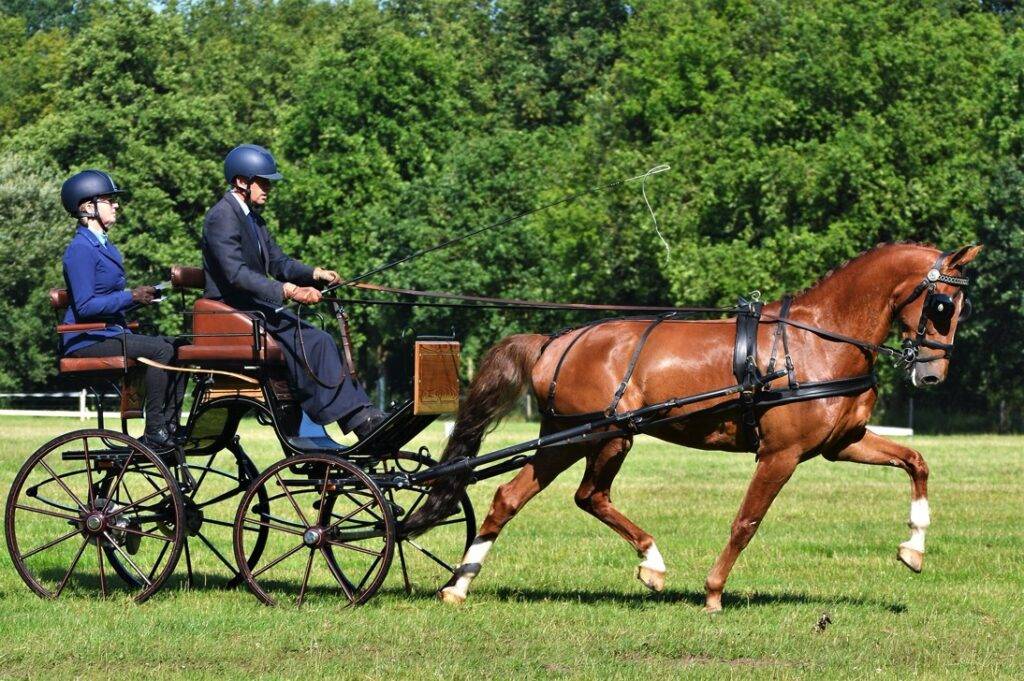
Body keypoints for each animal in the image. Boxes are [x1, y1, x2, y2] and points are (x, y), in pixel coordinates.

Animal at [408, 242, 980, 612]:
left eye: (960, 306)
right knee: (580, 496)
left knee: (522, 497)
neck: (816, 341)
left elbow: (916, 462)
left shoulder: (842, 444)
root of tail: (556, 340)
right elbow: (747, 522)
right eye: (942, 304)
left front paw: (914, 547)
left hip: (575, 437)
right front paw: (713, 593)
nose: (932, 373)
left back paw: (461, 585)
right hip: (601, 434)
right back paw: (649, 561)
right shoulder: (780, 454)